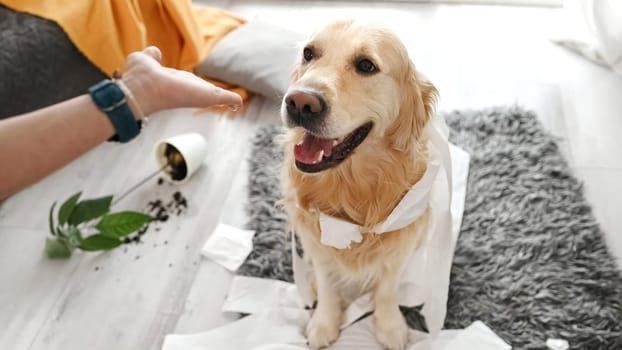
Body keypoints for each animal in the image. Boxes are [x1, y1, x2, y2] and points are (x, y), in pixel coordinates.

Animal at [280, 19, 442, 350]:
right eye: (308, 54)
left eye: (366, 65)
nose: (300, 103)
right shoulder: (316, 242)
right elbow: (327, 284)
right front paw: (323, 324)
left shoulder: (400, 245)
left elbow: (387, 289)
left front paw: (390, 326)